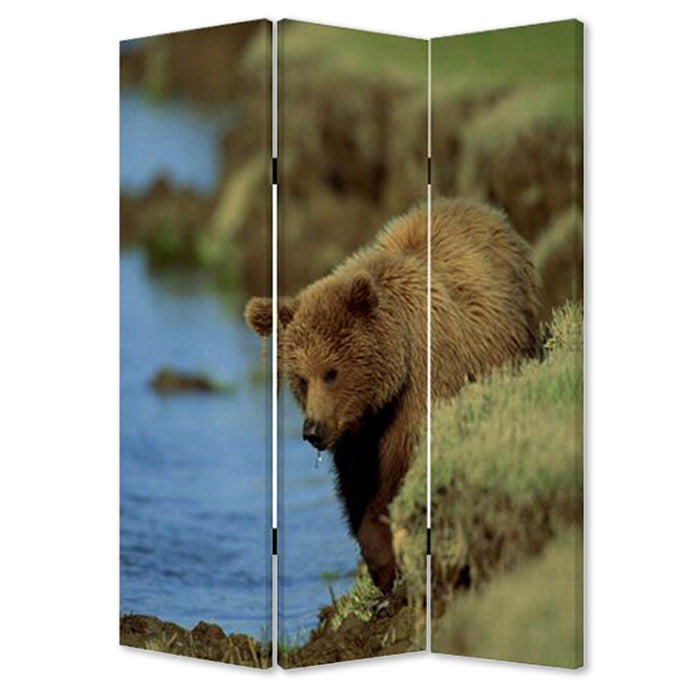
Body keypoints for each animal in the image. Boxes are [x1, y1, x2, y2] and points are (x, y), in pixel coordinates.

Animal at [244, 198, 541, 594]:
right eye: (301, 378)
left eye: (331, 372)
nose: (313, 431)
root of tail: (486, 211)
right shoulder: (356, 433)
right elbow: (357, 486)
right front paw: (380, 564)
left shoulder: (422, 388)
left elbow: (400, 470)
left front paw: (390, 560)